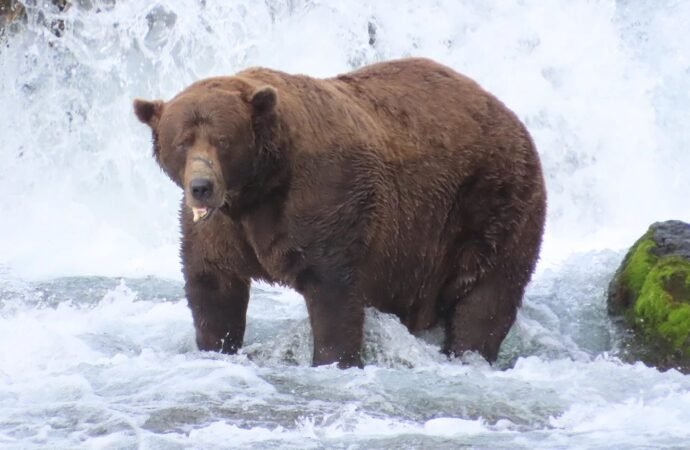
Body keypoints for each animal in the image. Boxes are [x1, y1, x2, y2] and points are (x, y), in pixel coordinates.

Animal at [133, 57, 546, 368]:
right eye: (182, 141)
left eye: (222, 140)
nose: (201, 186)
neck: (259, 188)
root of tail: (509, 114)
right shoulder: (221, 228)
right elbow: (213, 285)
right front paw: (216, 345)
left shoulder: (325, 199)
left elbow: (333, 292)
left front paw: (334, 359)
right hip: (418, 250)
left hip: (490, 202)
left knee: (487, 296)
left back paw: (469, 352)